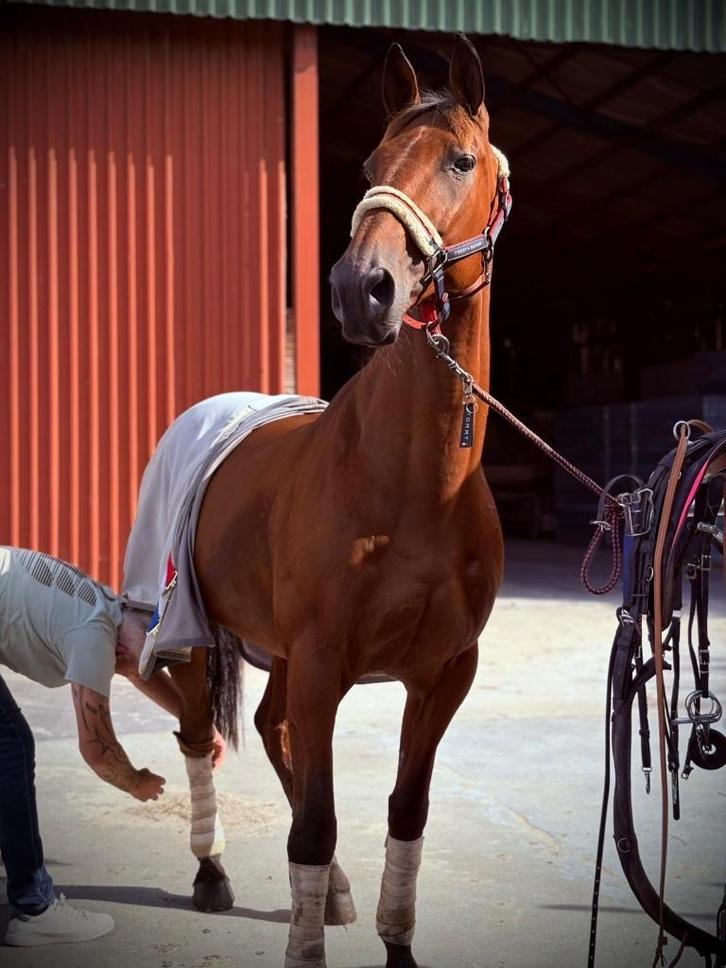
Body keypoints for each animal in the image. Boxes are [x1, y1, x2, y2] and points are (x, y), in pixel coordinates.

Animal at [166, 35, 508, 968]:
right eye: (369, 165)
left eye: (461, 160)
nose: (363, 287)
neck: (415, 487)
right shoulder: (325, 662)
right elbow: (312, 829)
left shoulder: (442, 675)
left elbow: (405, 815)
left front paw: (395, 941)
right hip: (186, 632)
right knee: (201, 737)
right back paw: (211, 874)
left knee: (272, 726)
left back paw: (342, 892)